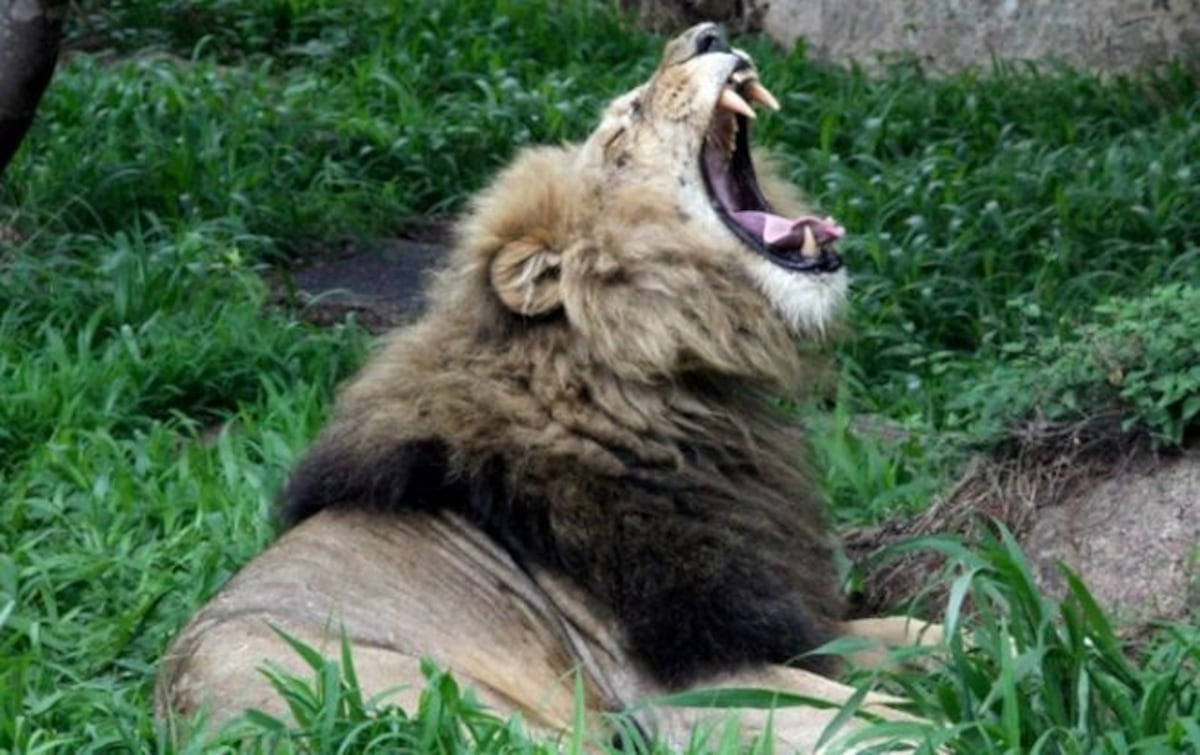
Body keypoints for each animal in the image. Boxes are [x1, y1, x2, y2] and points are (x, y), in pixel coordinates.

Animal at [156, 24, 939, 752]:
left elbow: (918, 633)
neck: (681, 387)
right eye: (622, 128)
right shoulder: (689, 686)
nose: (708, 33)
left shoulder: (787, 623)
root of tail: (179, 720)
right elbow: (886, 718)